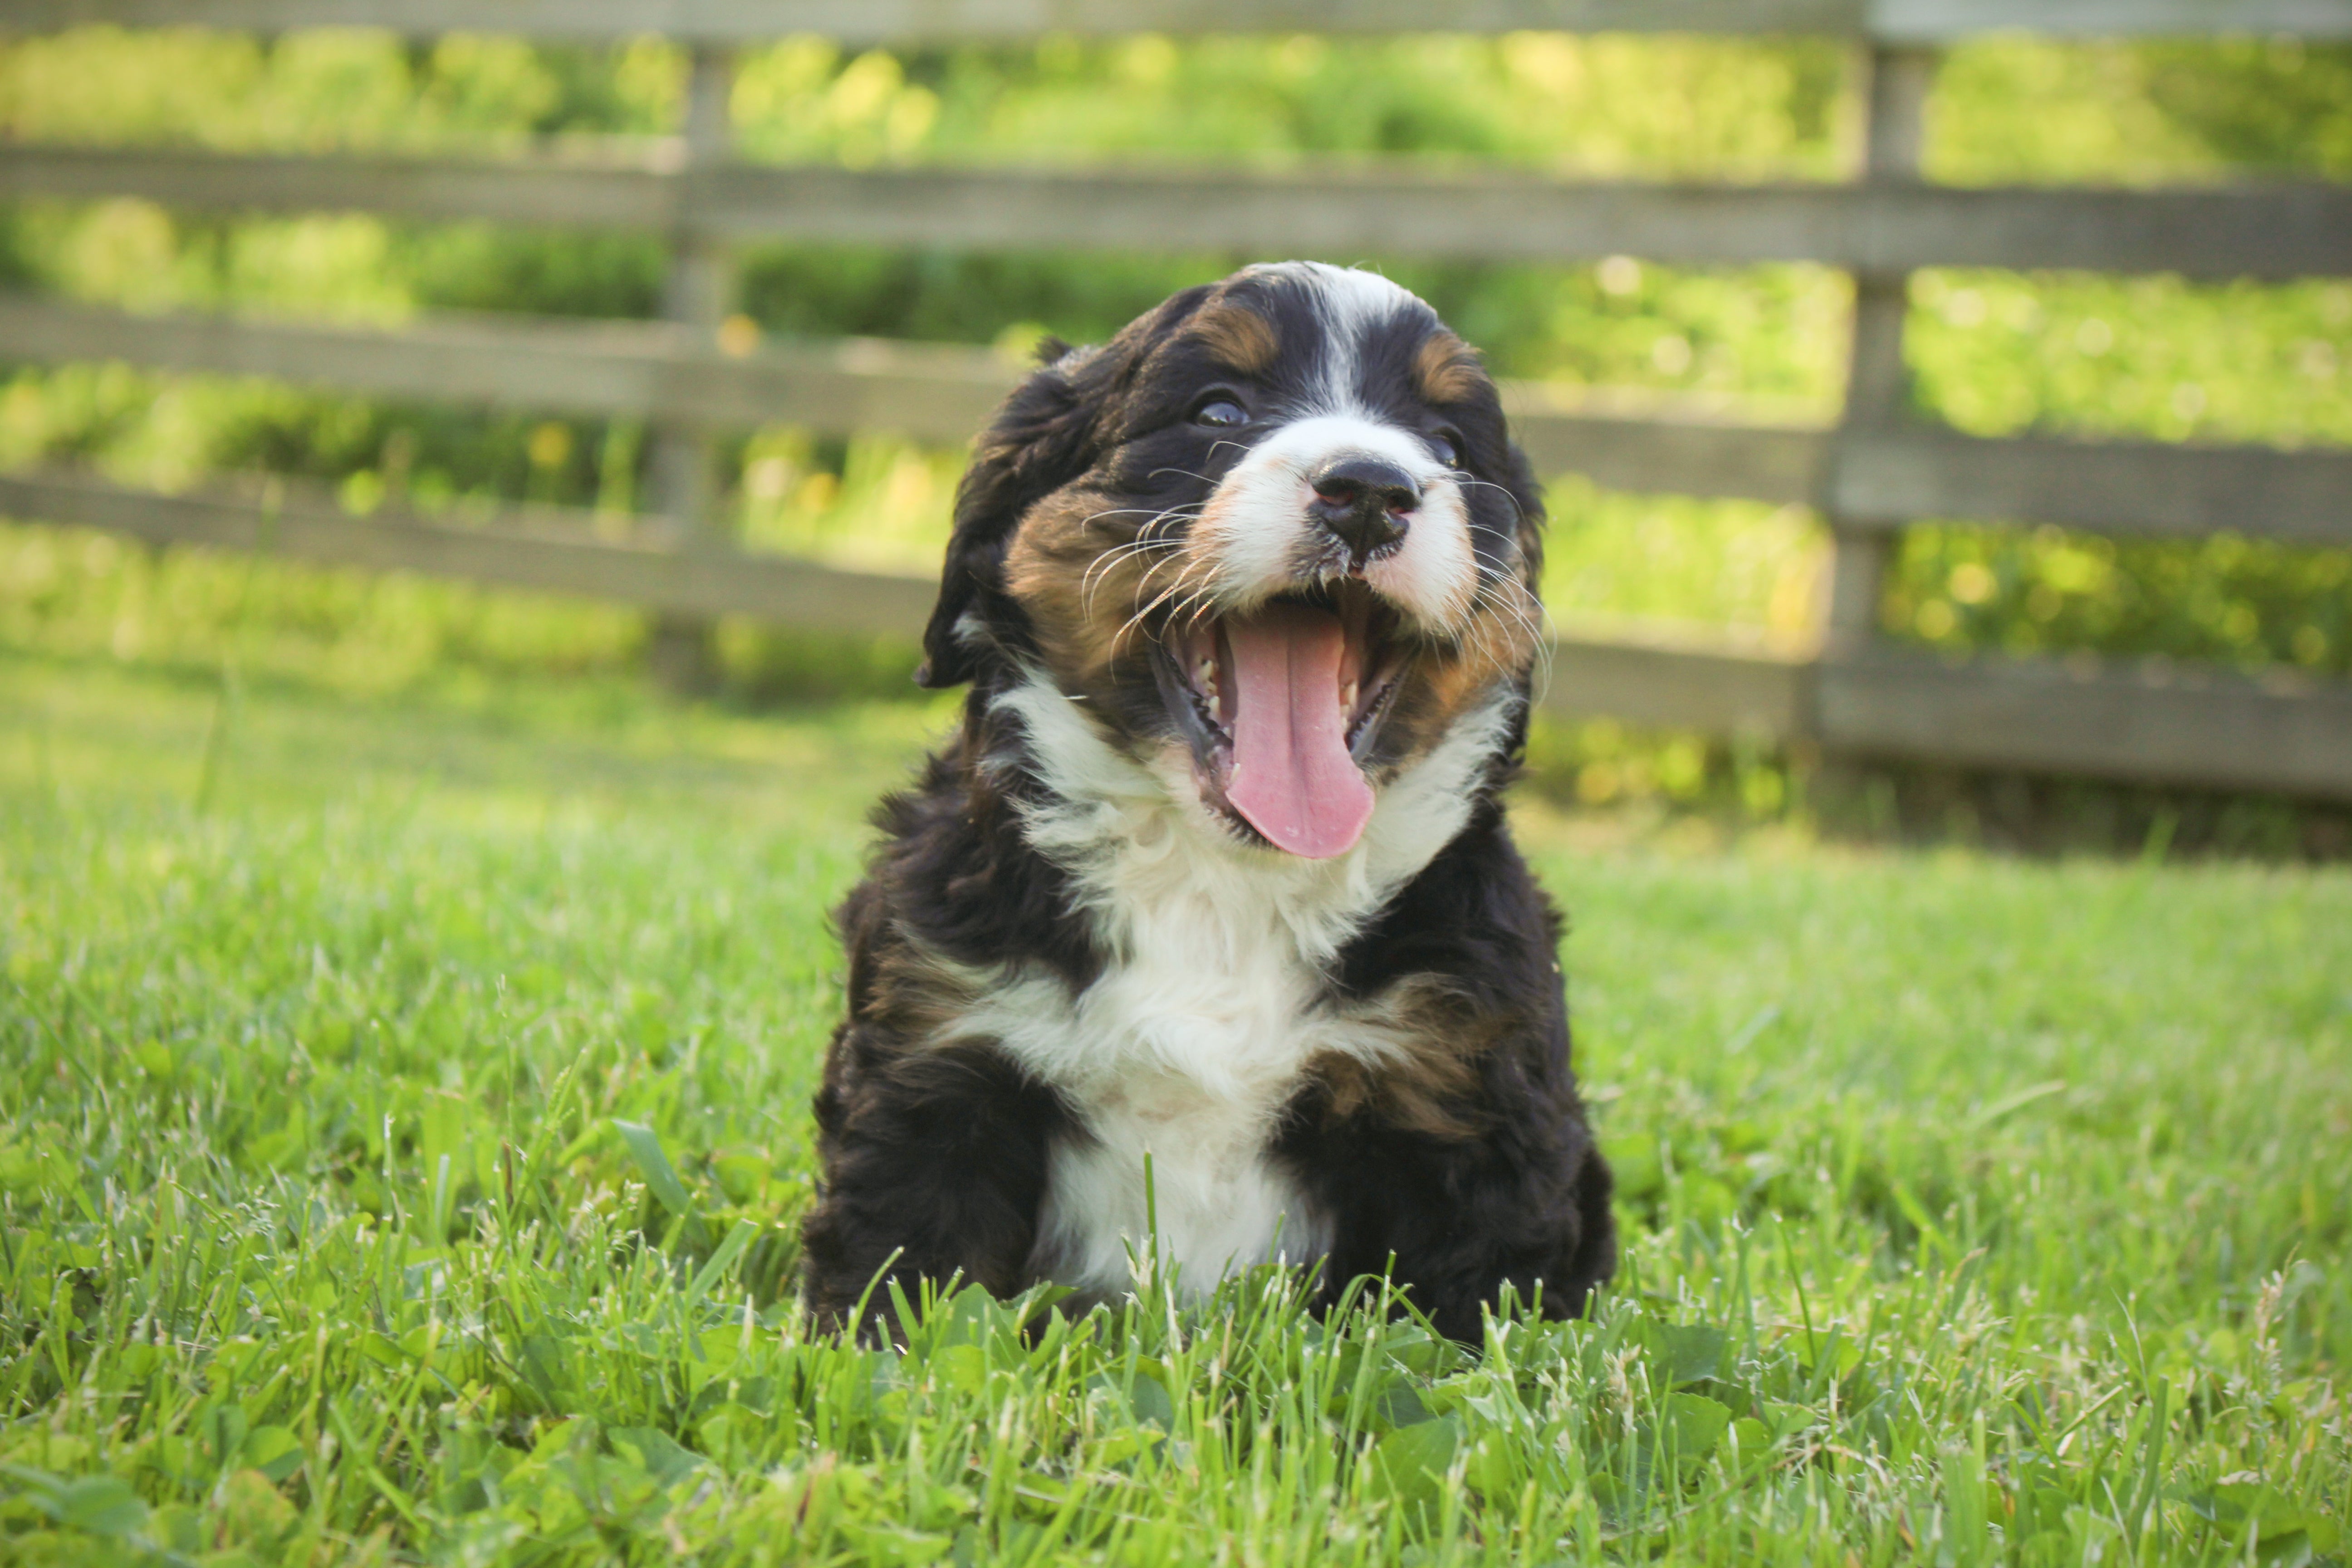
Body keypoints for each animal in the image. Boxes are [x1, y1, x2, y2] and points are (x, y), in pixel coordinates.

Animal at [799, 263, 1608, 1344]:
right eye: (1217, 410)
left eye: (1447, 447)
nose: (1370, 490)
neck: (1221, 885)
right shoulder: (935, 1068)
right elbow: (900, 1285)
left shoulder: (1470, 1114)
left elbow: (1465, 1337)